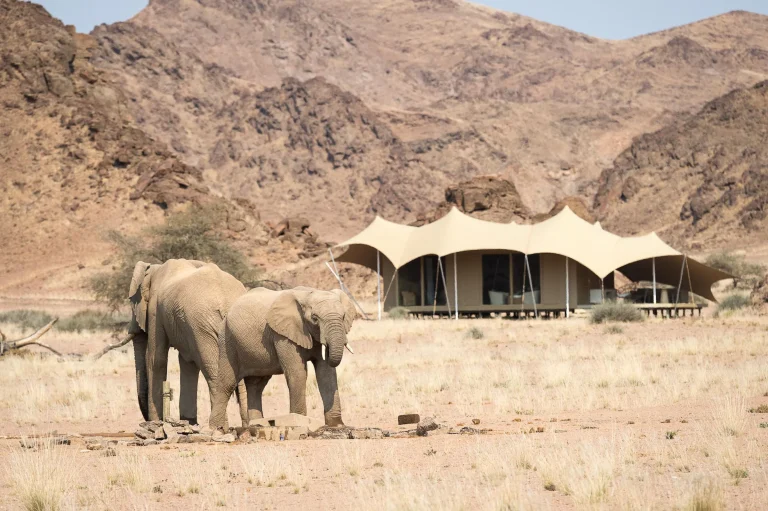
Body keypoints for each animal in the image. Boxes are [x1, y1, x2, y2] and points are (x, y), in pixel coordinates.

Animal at [128, 259, 249, 426]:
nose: (146, 420)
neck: (154, 268)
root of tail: (226, 303)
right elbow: (187, 363)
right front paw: (189, 422)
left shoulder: (155, 311)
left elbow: (155, 360)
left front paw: (155, 423)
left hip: (202, 326)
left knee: (213, 372)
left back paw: (219, 428)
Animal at [208, 287, 358, 431]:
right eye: (315, 318)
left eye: (343, 316)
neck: (307, 293)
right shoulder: (283, 334)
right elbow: (298, 373)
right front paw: (300, 422)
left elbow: (326, 373)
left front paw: (337, 426)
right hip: (226, 339)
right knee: (227, 383)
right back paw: (217, 428)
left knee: (256, 385)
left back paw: (256, 425)